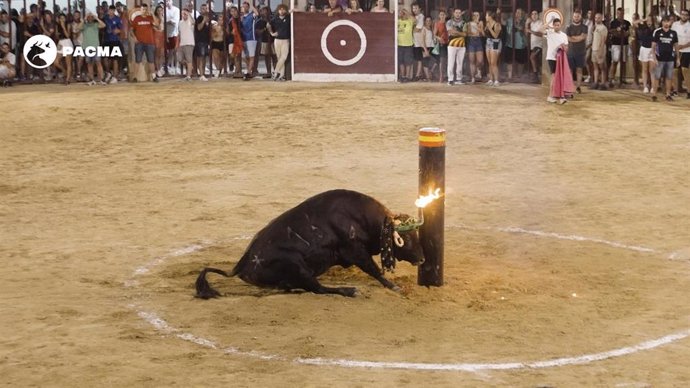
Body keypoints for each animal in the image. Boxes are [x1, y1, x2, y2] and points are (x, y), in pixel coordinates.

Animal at [194, 189, 424, 298]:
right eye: (406, 239)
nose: (422, 259)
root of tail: (242, 264)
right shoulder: (355, 251)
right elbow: (374, 270)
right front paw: (394, 287)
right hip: (299, 268)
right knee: (319, 288)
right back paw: (349, 291)